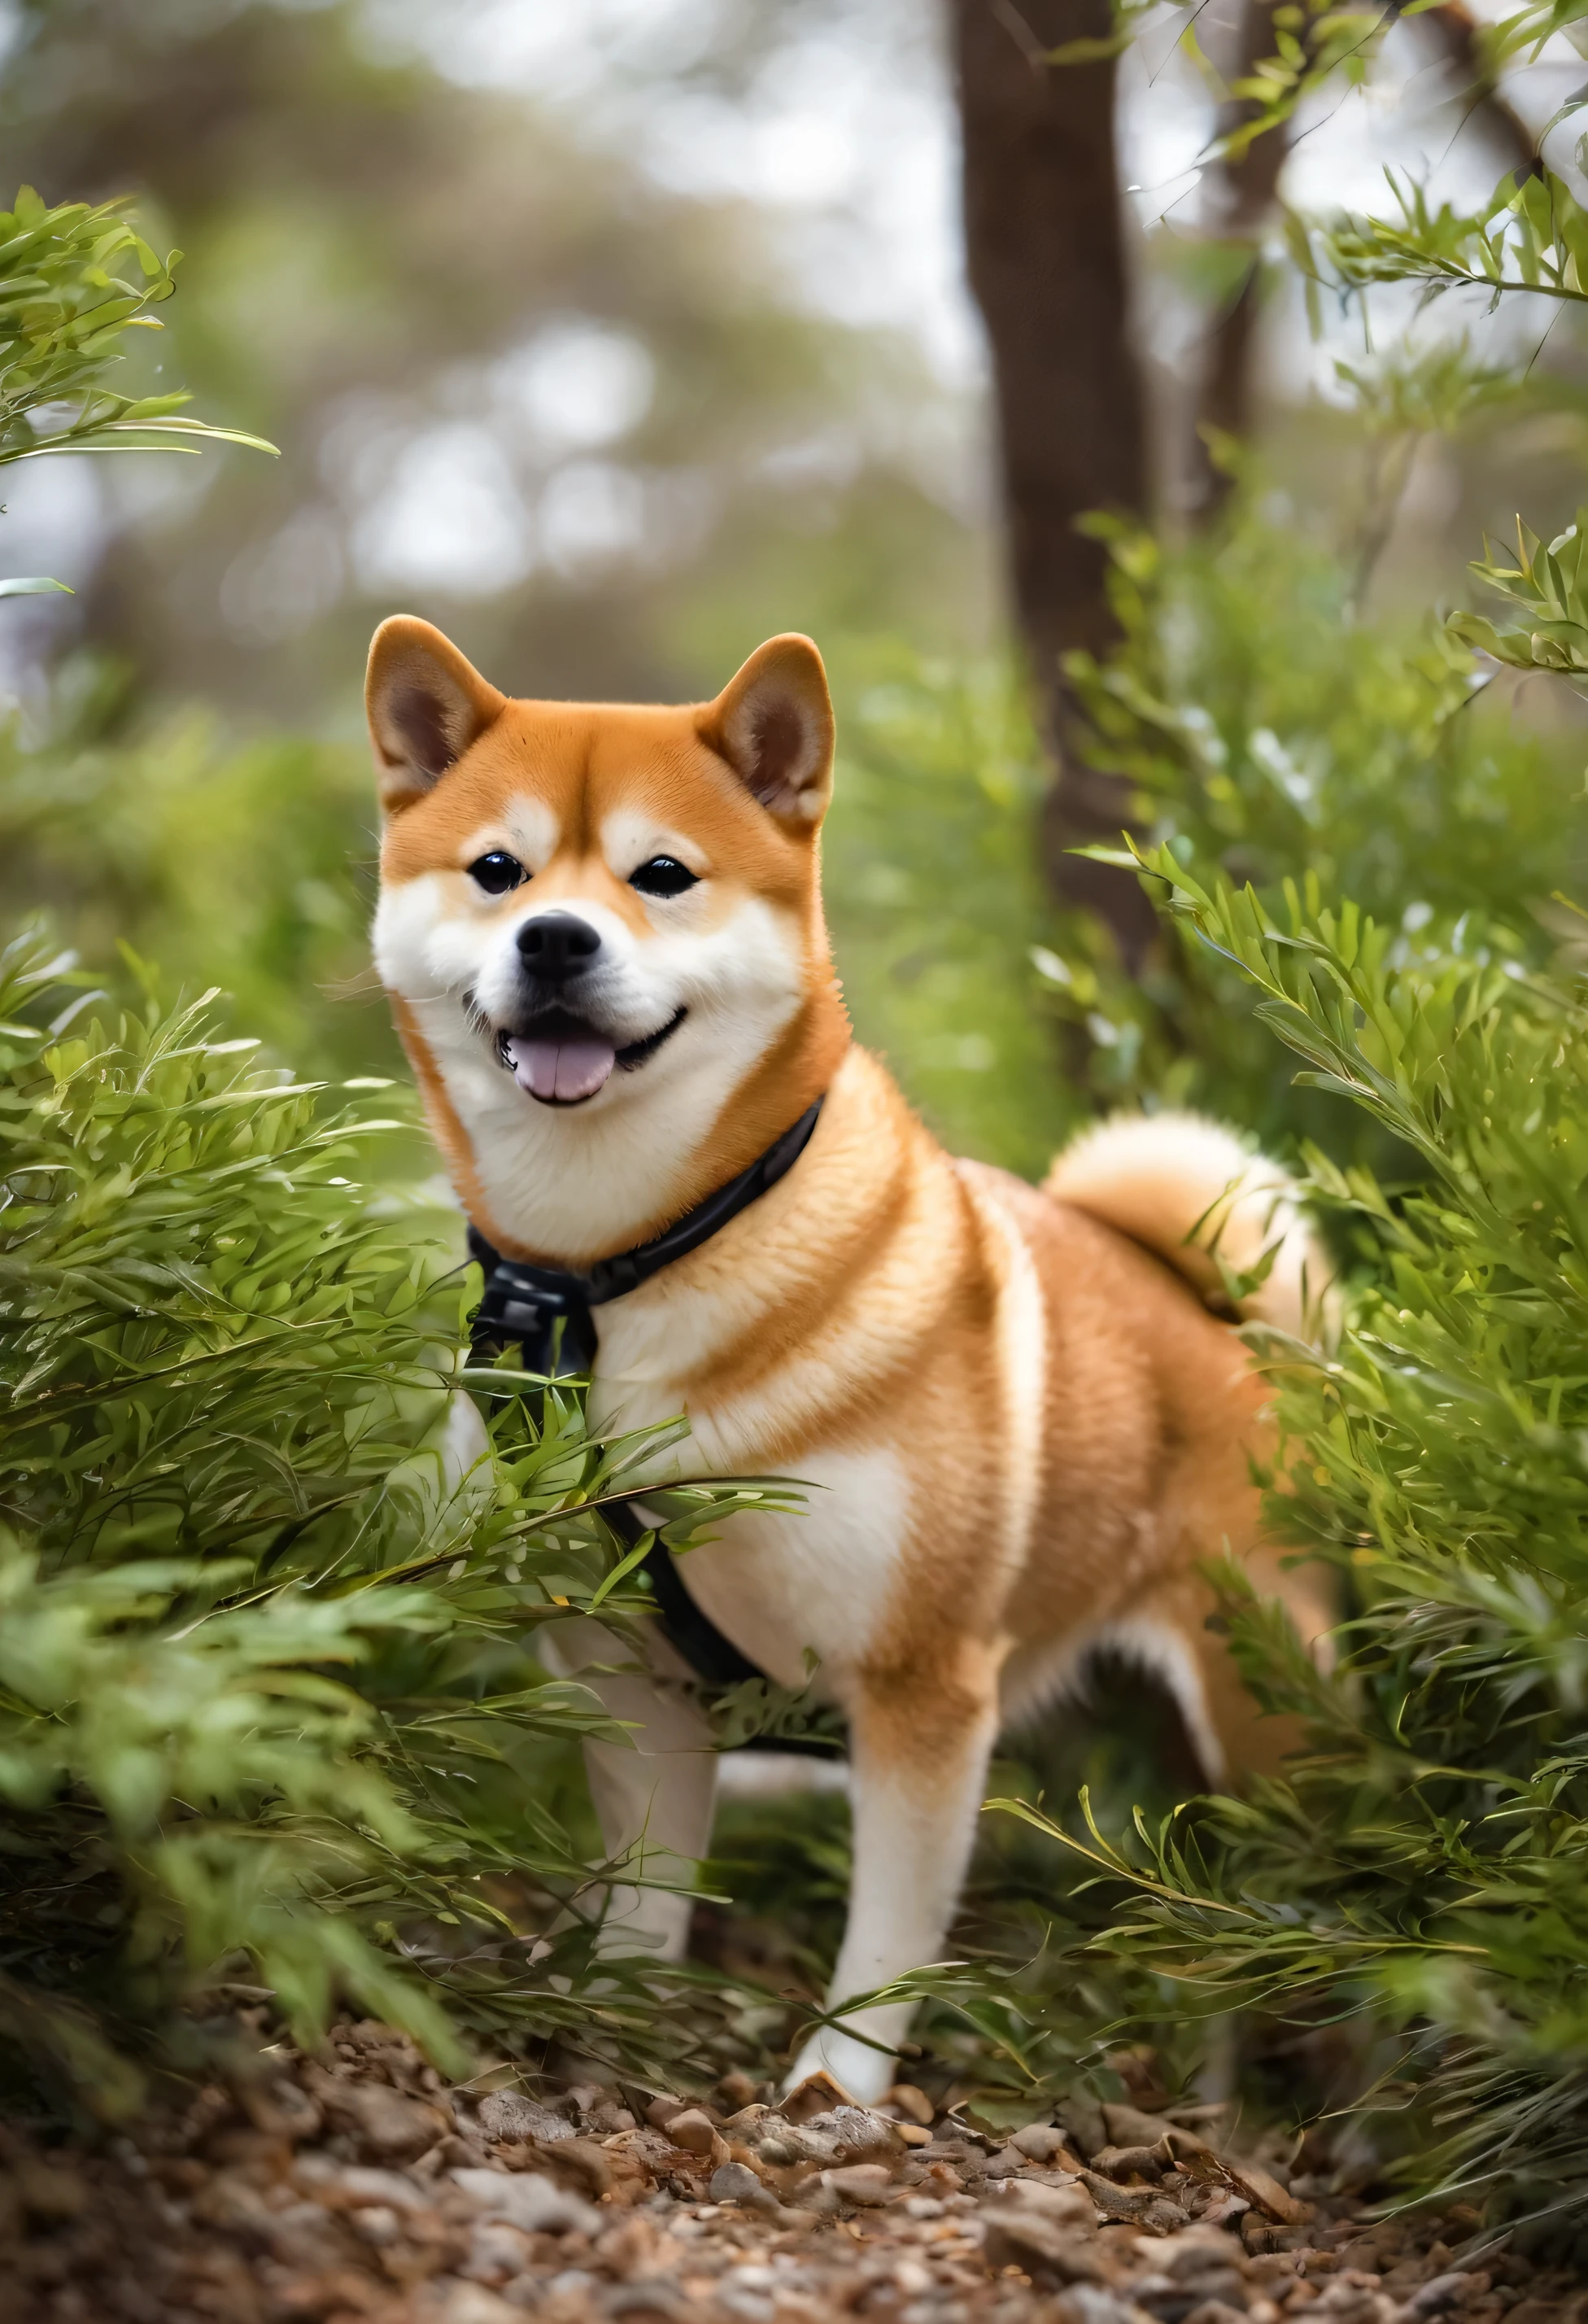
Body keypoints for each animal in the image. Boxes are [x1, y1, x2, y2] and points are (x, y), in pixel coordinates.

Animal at [367, 618, 1339, 2110]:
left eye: (662, 874)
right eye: (497, 872)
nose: (555, 937)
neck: (620, 1268)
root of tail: (1217, 1333)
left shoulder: (919, 1683)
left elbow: (887, 1940)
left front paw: (836, 2089)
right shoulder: (634, 1674)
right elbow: (647, 1890)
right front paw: (614, 2017)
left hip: (1264, 1721)